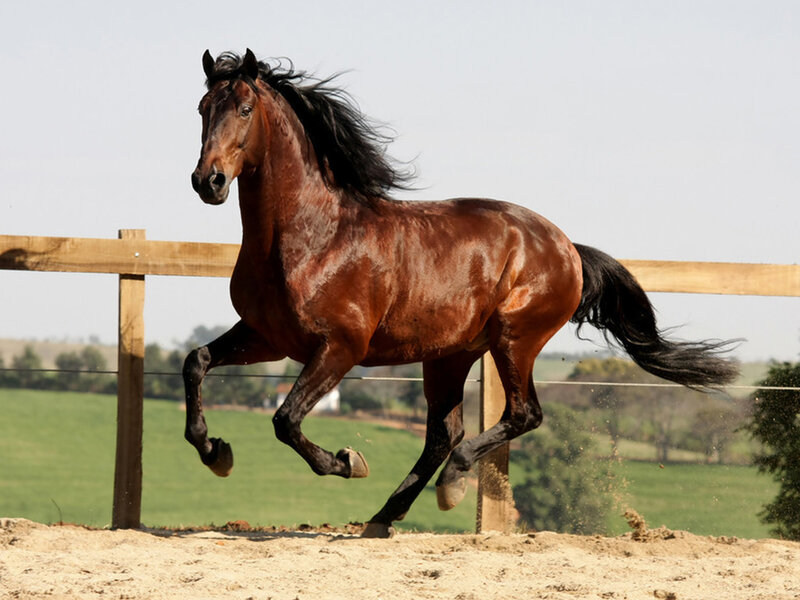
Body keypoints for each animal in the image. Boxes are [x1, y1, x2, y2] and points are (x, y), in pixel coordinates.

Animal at [185, 49, 738, 538]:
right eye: (202, 107)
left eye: (245, 109)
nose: (207, 182)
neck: (312, 238)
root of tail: (567, 248)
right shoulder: (268, 336)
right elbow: (197, 362)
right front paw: (216, 453)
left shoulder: (340, 347)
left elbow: (285, 419)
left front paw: (348, 461)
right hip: (448, 354)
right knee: (443, 434)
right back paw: (384, 516)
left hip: (514, 339)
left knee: (518, 415)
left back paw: (451, 481)